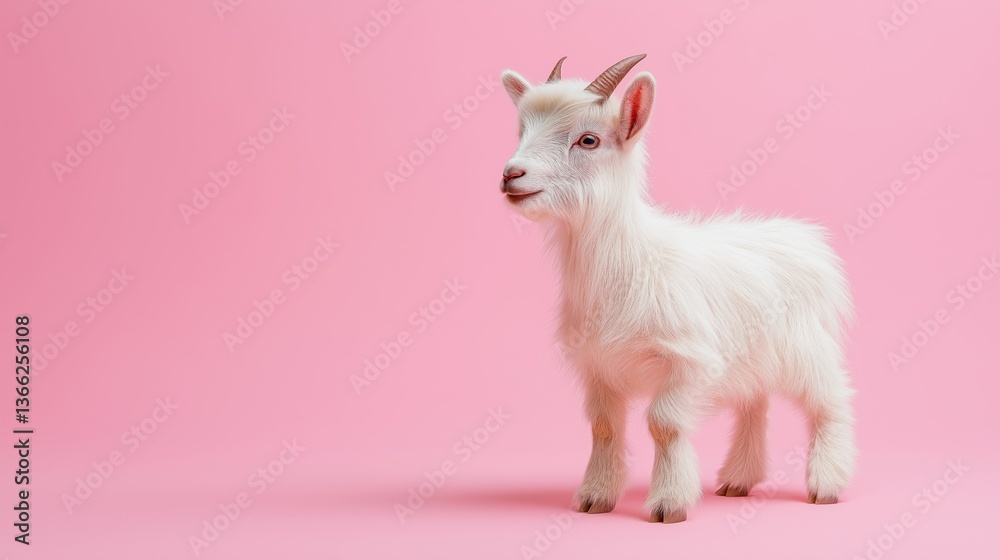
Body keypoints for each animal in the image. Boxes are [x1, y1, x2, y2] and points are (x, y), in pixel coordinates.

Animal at [499, 55, 856, 523]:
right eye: (522, 131)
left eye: (588, 140)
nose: (511, 175)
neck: (629, 263)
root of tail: (807, 240)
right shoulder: (598, 366)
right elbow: (604, 427)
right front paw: (595, 498)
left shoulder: (689, 360)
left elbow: (664, 424)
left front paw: (669, 503)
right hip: (751, 358)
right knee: (754, 405)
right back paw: (738, 480)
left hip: (805, 347)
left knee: (829, 401)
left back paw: (827, 484)